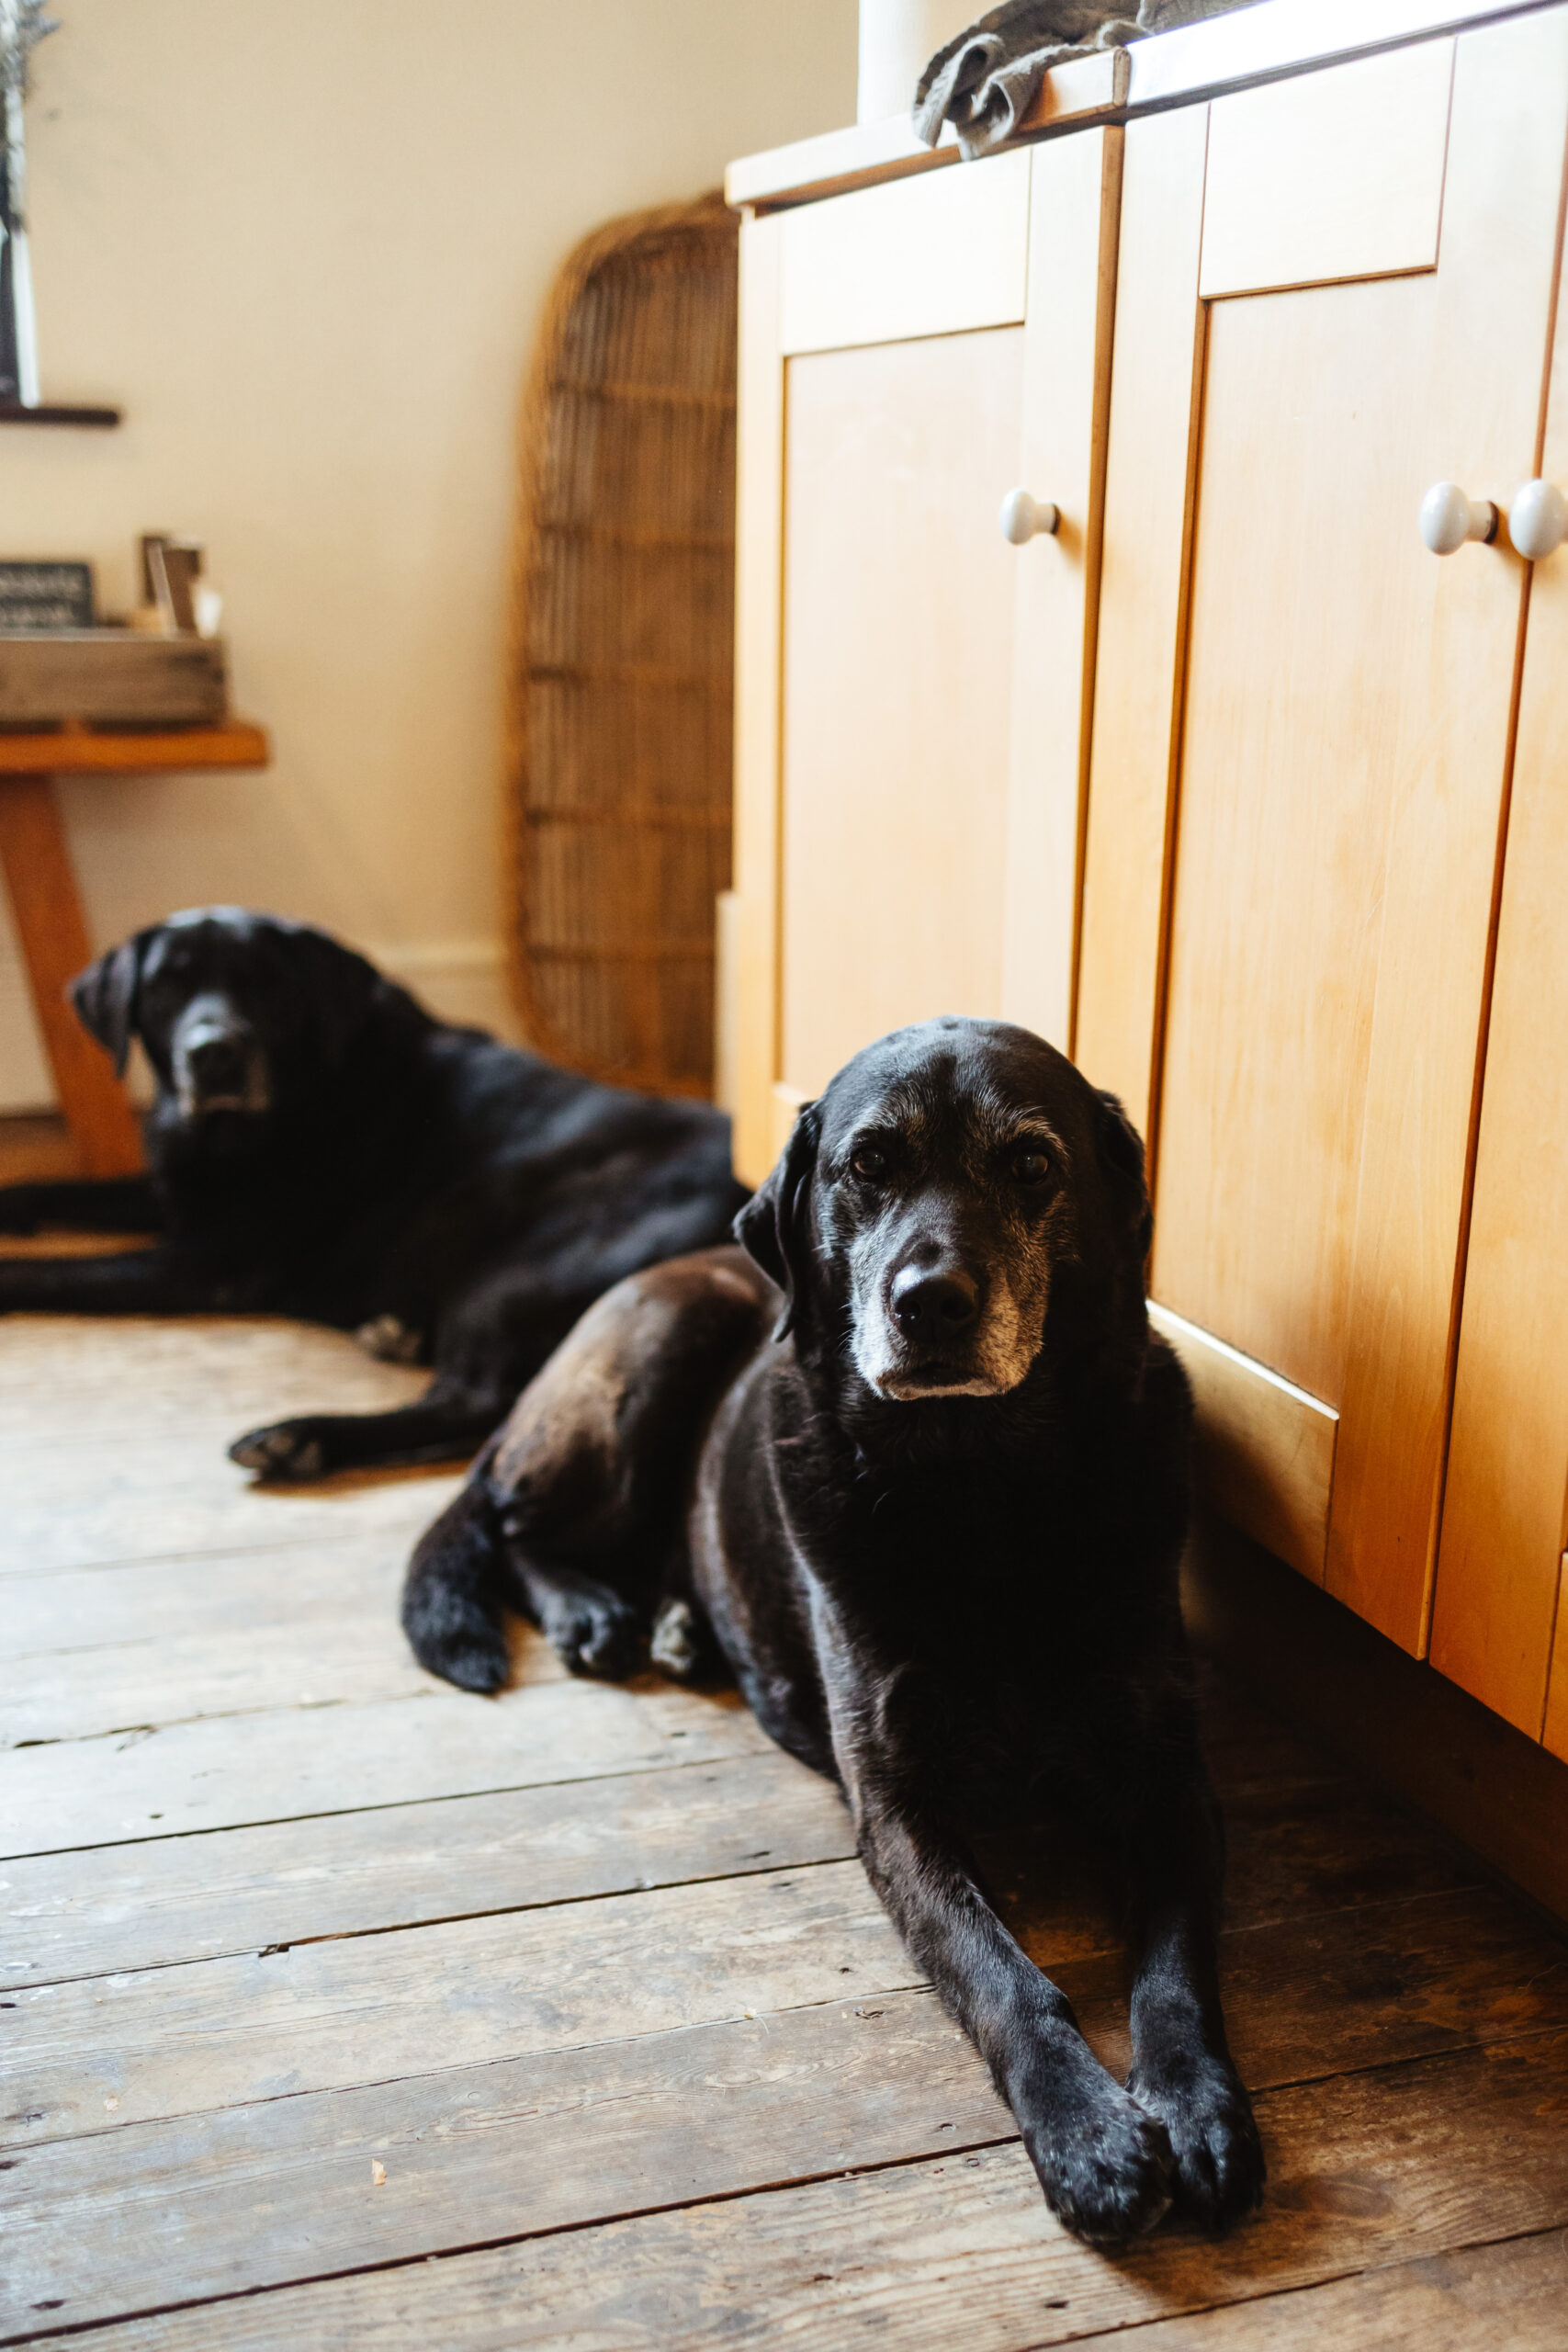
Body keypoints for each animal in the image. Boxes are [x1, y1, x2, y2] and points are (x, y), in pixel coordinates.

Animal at [0, 908, 747, 1476]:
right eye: (163, 989)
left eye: (269, 988)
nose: (214, 1052)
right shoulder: (177, 1194)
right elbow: (58, 1189)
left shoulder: (206, 1264)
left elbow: (57, 1273)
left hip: (523, 1274)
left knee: (476, 1402)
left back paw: (303, 1436)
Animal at [404, 1021, 1259, 2248]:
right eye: (869, 1165)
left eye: (1032, 1164)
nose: (931, 1301)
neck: (983, 1495)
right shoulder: (897, 1806)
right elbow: (1004, 1975)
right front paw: (1087, 2135)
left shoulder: (1168, 1775)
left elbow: (1179, 1965)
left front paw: (1196, 2109)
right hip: (653, 1361)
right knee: (512, 1519)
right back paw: (594, 1611)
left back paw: (671, 1621)